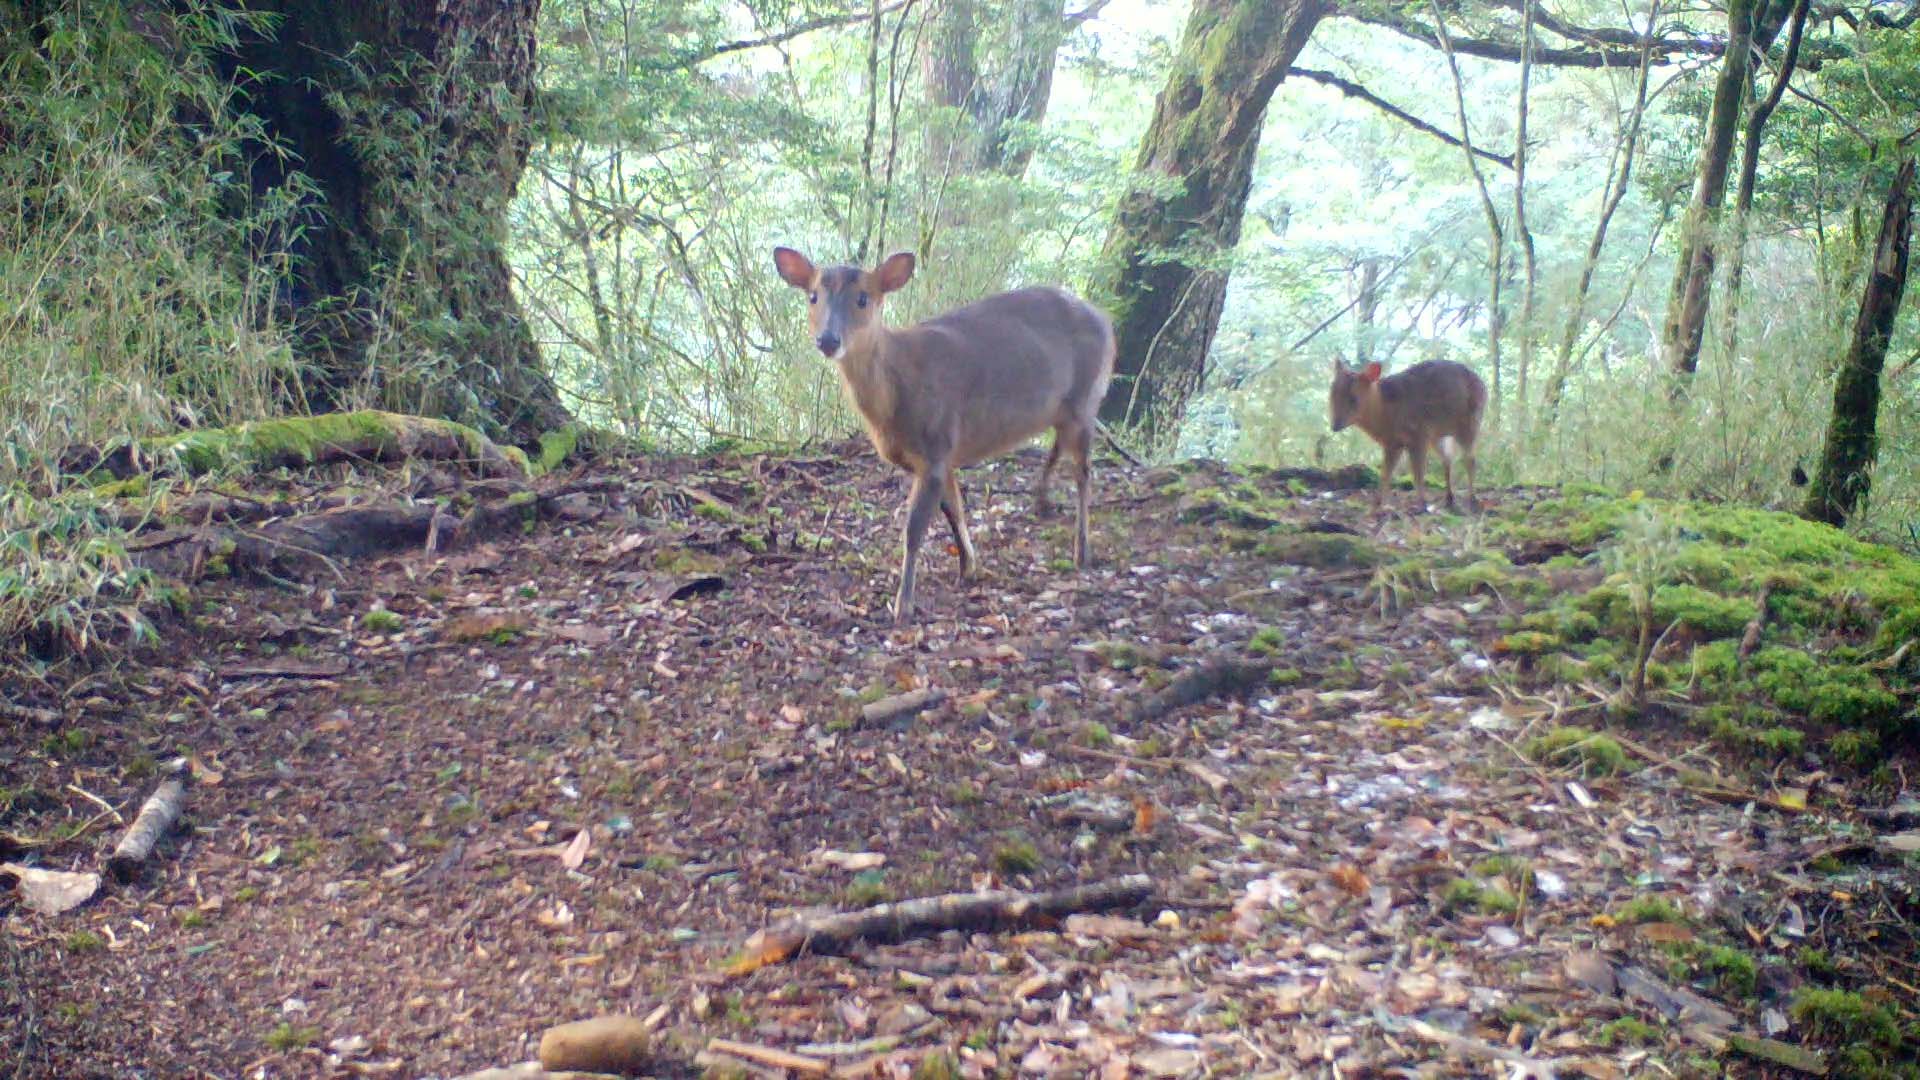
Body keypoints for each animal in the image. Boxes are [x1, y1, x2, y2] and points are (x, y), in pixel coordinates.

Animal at [775, 247, 1121, 618]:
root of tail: (1106, 320)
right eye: (813, 296)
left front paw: (903, 605)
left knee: (1084, 471)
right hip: (1062, 408)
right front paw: (968, 567)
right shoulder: (941, 455)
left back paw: (1082, 551)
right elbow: (953, 510)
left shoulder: (937, 443)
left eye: (863, 298)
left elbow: (914, 529)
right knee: (1059, 446)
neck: (895, 396)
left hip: (1087, 394)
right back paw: (1041, 502)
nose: (828, 339)